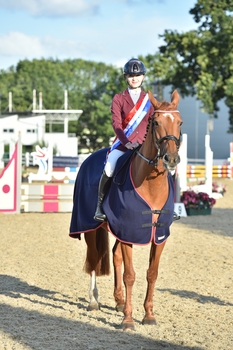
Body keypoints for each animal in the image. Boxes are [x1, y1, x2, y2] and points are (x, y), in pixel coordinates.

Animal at [69, 89, 182, 330]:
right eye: (156, 122)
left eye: (180, 122)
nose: (171, 159)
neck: (150, 184)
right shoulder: (129, 232)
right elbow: (130, 275)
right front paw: (128, 320)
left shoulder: (158, 235)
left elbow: (152, 273)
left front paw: (148, 315)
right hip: (90, 226)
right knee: (94, 259)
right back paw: (94, 301)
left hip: (118, 230)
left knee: (115, 256)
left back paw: (119, 301)